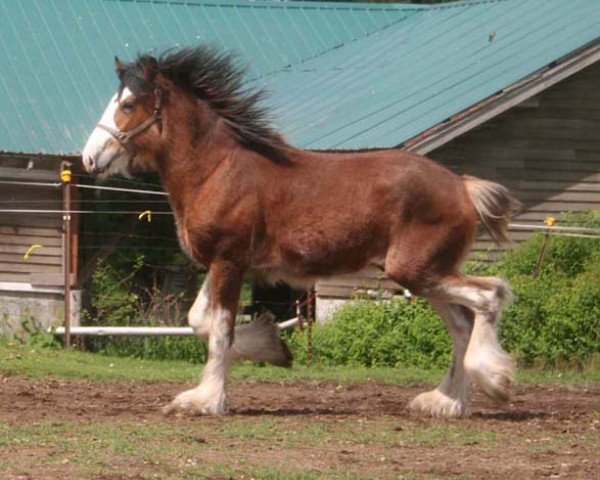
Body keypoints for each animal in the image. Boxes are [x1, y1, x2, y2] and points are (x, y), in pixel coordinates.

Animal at [83, 46, 520, 420]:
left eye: (128, 104)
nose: (90, 158)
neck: (217, 170)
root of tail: (461, 185)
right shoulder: (224, 264)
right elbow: (199, 321)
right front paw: (272, 346)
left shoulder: (228, 261)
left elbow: (220, 330)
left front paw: (206, 400)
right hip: (425, 274)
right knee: (462, 324)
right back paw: (446, 402)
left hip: (417, 270)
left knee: (489, 296)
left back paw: (494, 380)